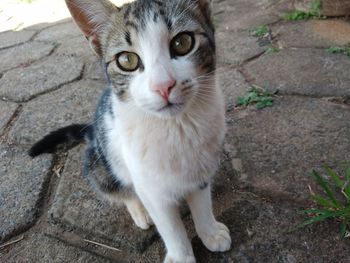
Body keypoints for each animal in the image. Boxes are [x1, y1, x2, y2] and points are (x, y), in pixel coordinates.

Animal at [28, 1, 231, 262]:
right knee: (120, 189)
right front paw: (181, 255)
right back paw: (139, 210)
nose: (163, 86)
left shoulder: (201, 169)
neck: (175, 127)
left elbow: (202, 203)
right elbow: (170, 226)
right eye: (126, 60)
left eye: (182, 42)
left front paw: (210, 232)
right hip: (101, 164)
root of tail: (91, 132)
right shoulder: (150, 187)